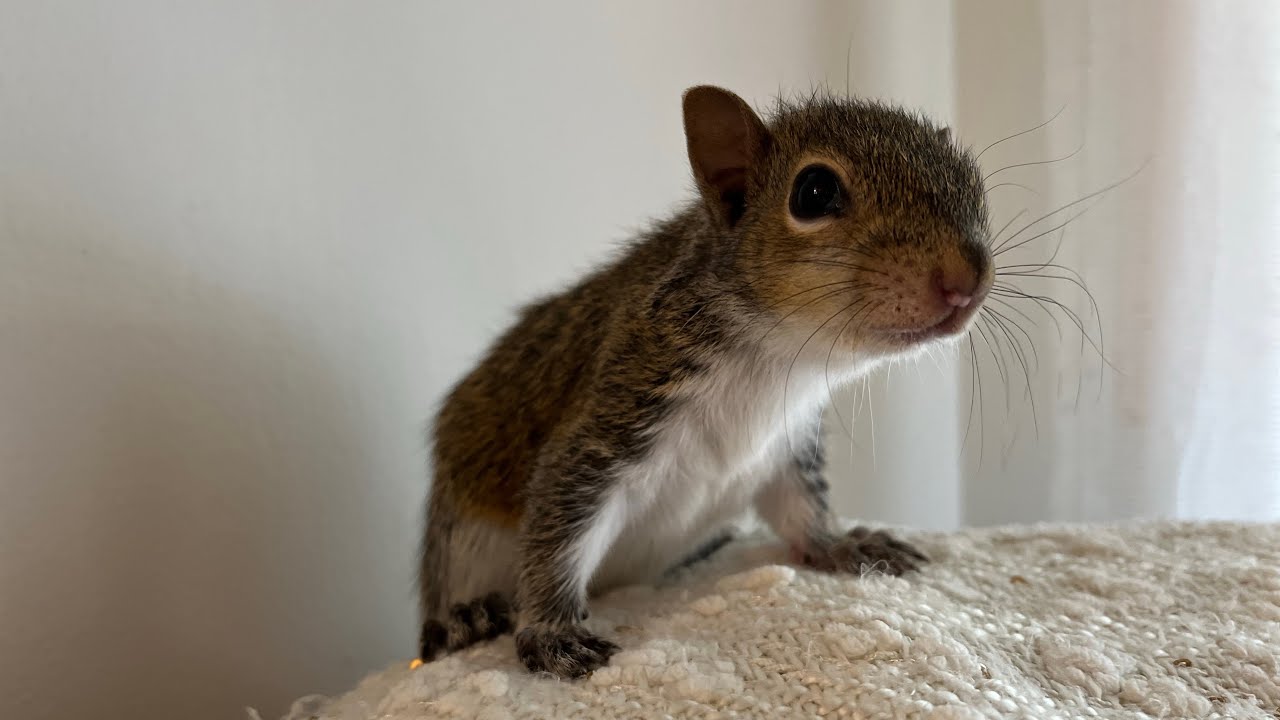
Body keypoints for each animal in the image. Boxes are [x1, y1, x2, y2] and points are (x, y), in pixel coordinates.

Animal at [418, 85, 993, 678]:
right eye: (814, 192)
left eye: (973, 181)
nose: (967, 280)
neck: (779, 359)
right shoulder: (625, 406)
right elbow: (560, 522)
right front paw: (553, 631)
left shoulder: (787, 446)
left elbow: (800, 511)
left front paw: (840, 545)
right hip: (460, 541)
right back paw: (466, 618)